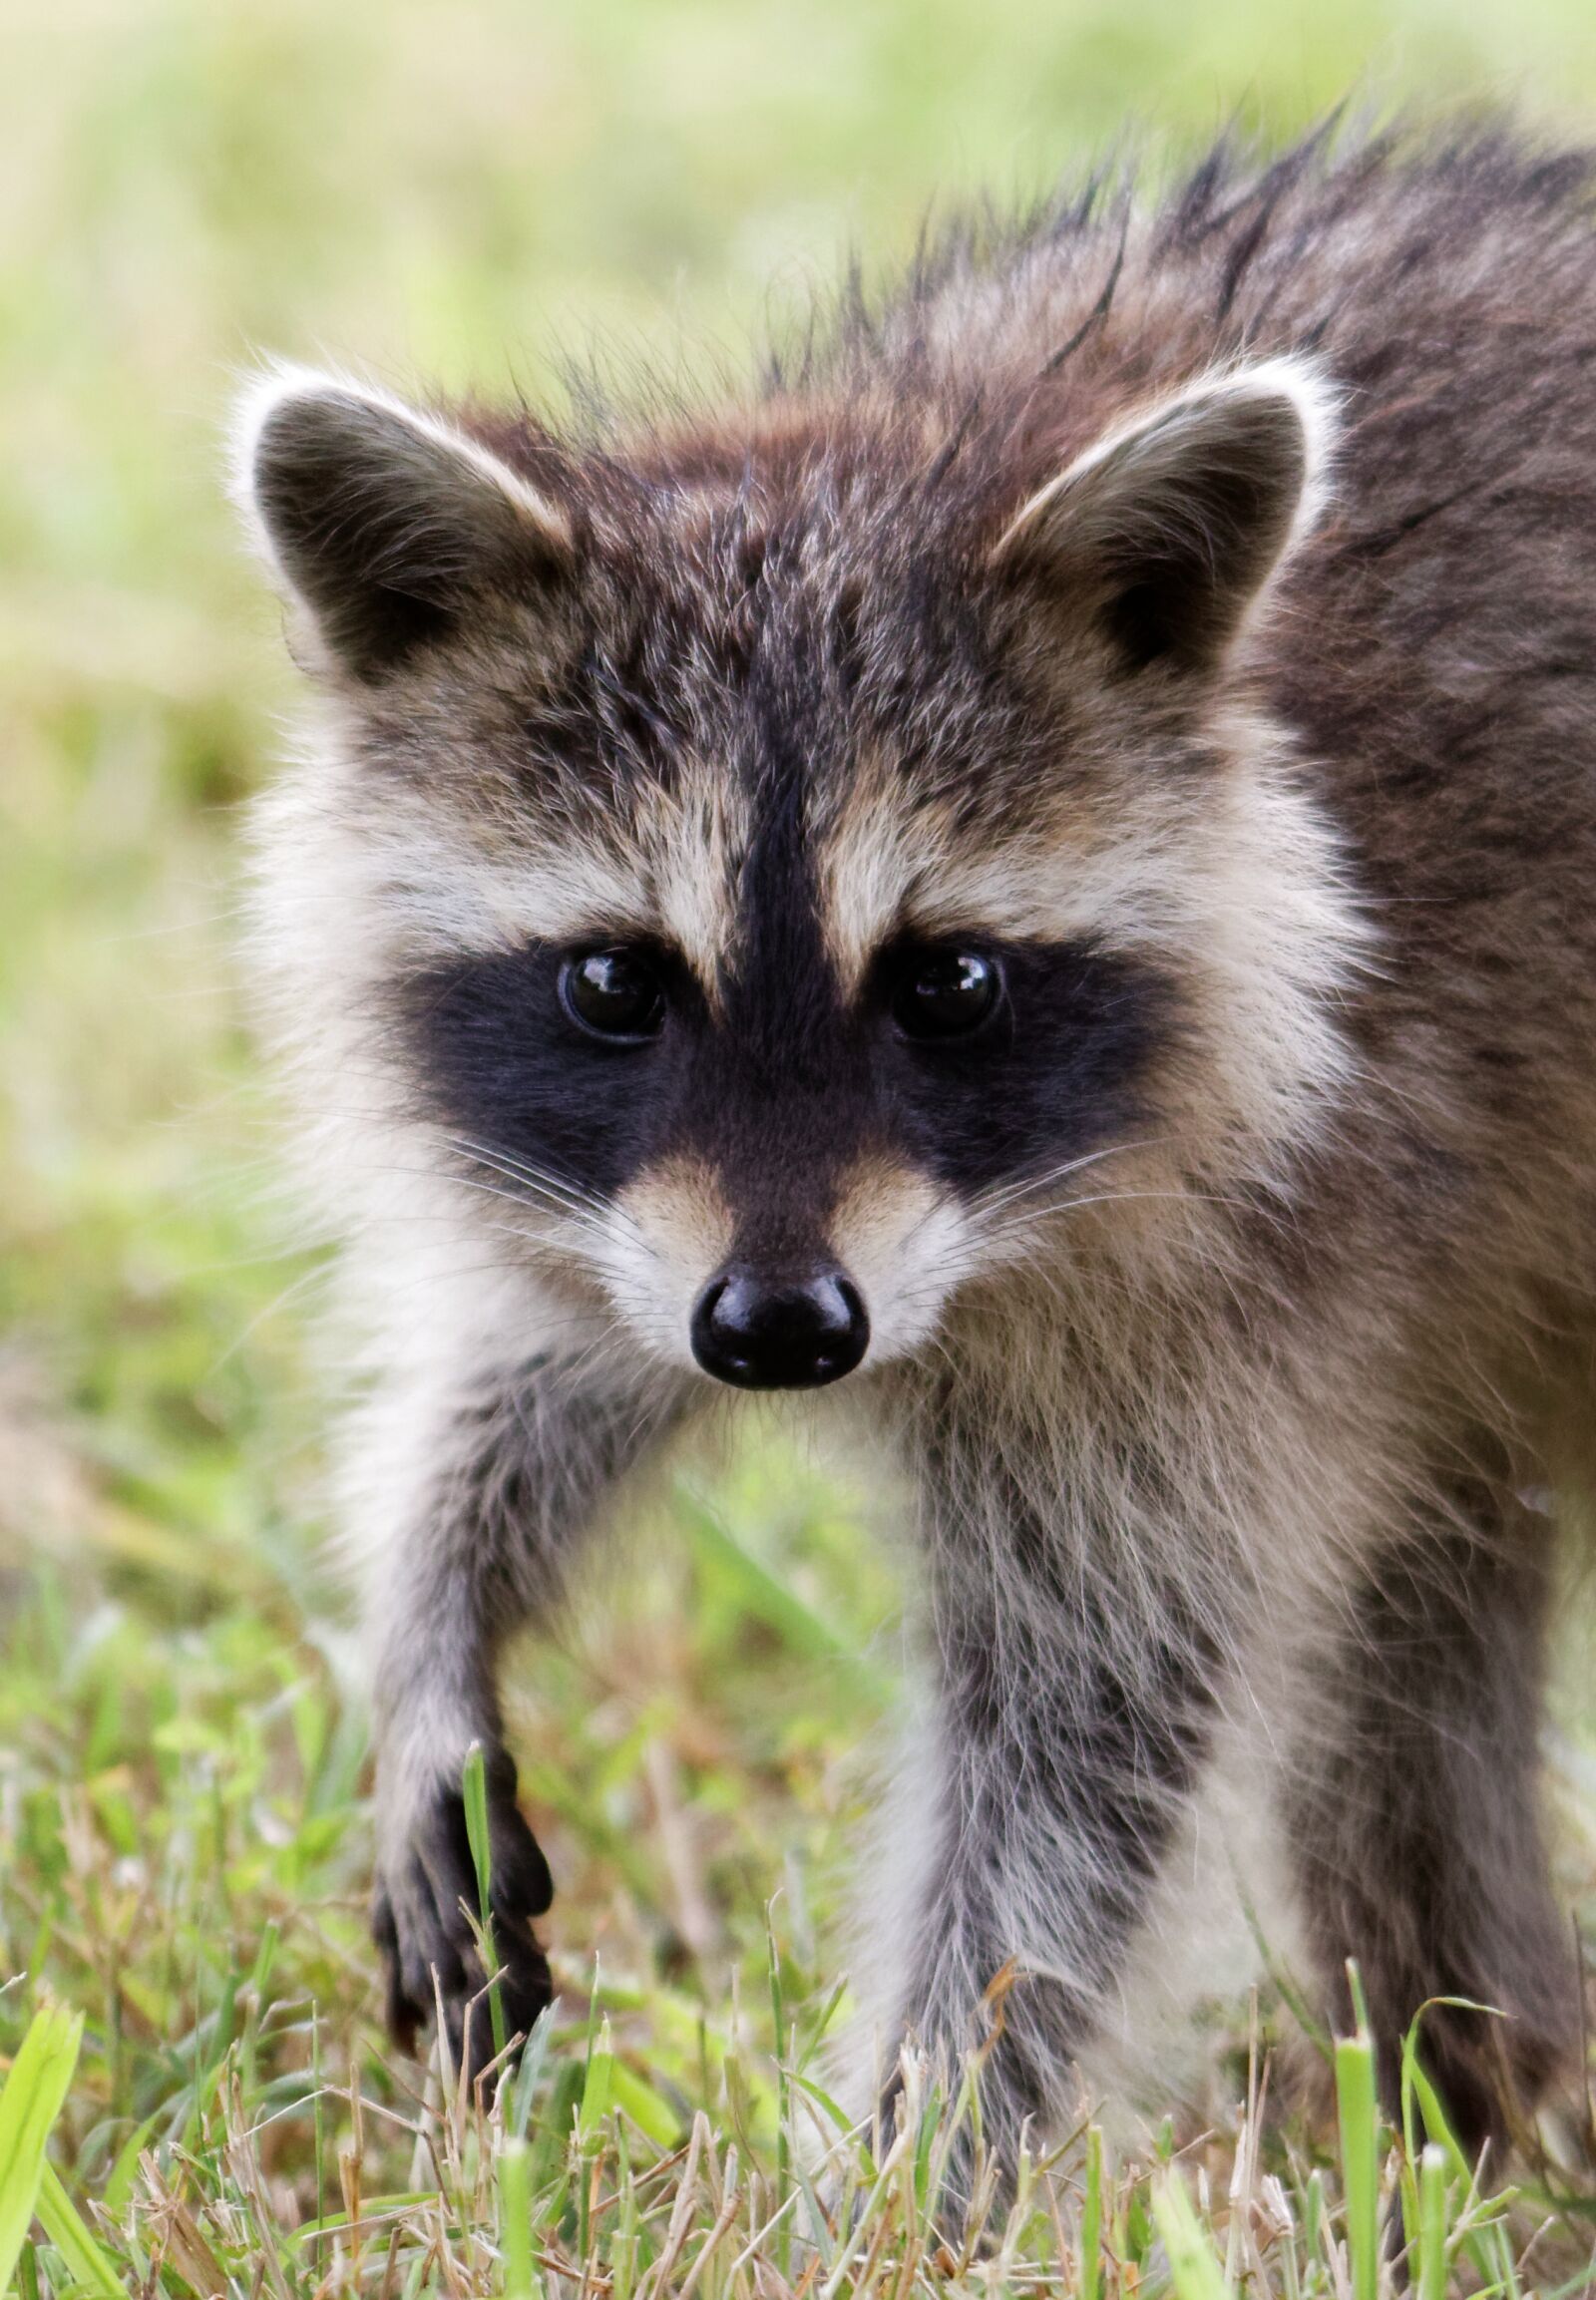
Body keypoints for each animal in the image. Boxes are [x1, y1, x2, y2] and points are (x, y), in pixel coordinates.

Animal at [234, 125, 1596, 2167]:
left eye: (948, 980)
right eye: (615, 981)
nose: (784, 1336)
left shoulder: (1257, 1270)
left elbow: (1079, 1757)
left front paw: (909, 2168)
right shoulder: (653, 1212)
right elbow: (548, 1369)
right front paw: (428, 1614)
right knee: (1414, 1663)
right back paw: (1476, 2073)